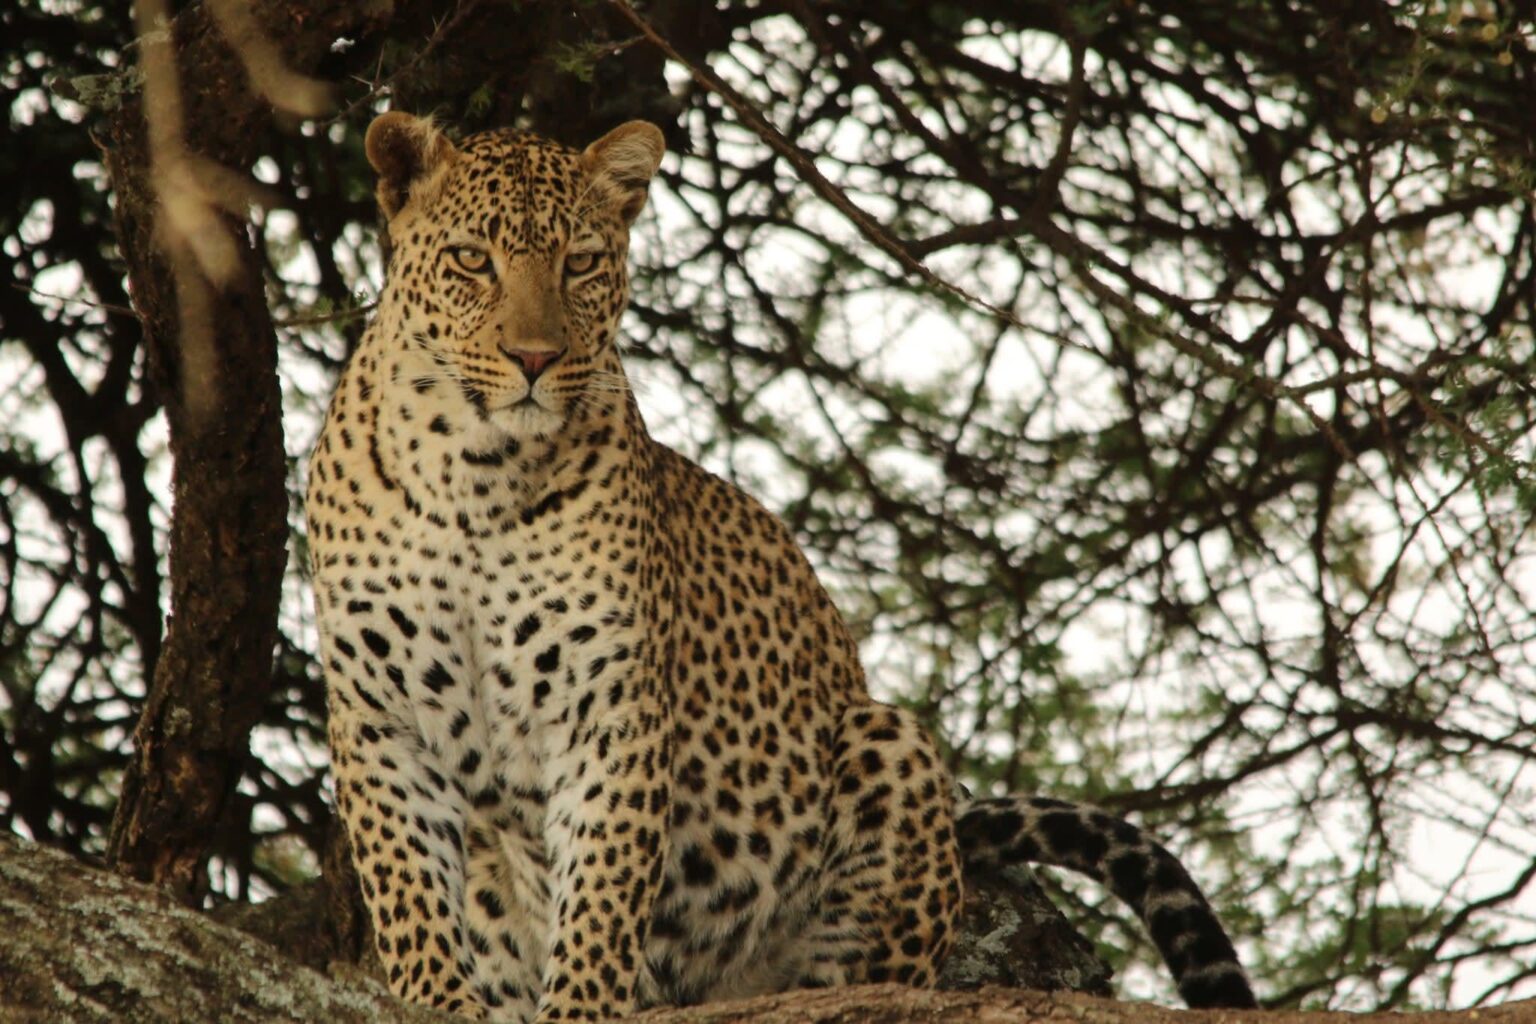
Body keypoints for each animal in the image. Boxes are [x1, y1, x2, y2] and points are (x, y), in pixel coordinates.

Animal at [305, 111, 1258, 1022]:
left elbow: (602, 899)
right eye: (472, 259)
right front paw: (433, 998)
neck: (474, 476)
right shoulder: (378, 715)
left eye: (581, 263)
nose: (536, 359)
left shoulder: (609, 712)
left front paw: (582, 1005)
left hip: (886, 750)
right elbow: (407, 886)